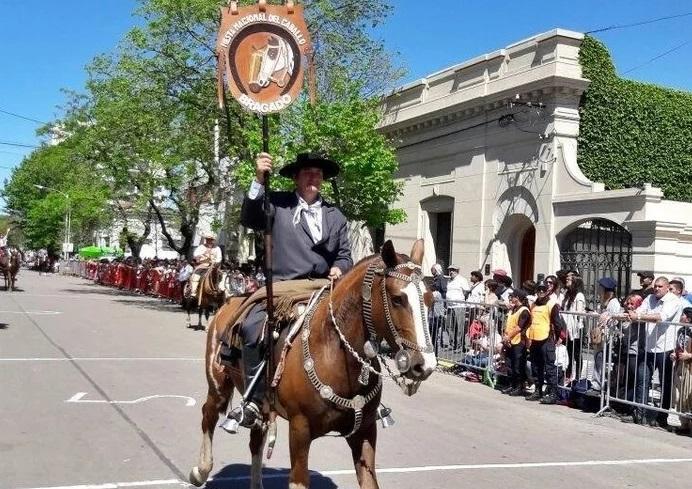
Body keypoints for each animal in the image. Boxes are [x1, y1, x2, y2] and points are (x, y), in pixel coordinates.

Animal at [189, 240, 438, 488]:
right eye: (397, 299)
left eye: (430, 300)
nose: (424, 365)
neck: (334, 354)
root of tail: (228, 302)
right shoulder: (300, 430)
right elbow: (299, 479)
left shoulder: (365, 431)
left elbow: (369, 481)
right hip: (218, 384)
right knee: (208, 414)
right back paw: (200, 470)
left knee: (256, 439)